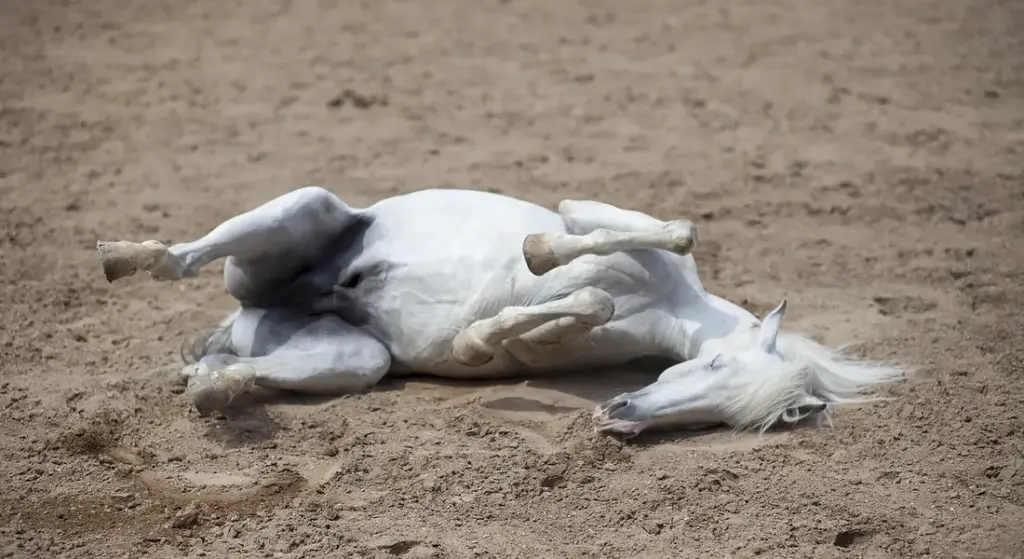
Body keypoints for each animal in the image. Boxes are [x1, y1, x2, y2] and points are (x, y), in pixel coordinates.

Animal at [96, 186, 905, 437]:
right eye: (707, 364)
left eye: (731, 417)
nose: (621, 417)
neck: (677, 306)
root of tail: (262, 305)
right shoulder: (592, 213)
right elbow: (646, 237)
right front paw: (538, 257)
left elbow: (577, 308)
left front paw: (479, 339)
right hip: (301, 211)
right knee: (179, 260)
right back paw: (123, 256)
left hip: (351, 359)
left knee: (232, 371)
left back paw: (211, 385)